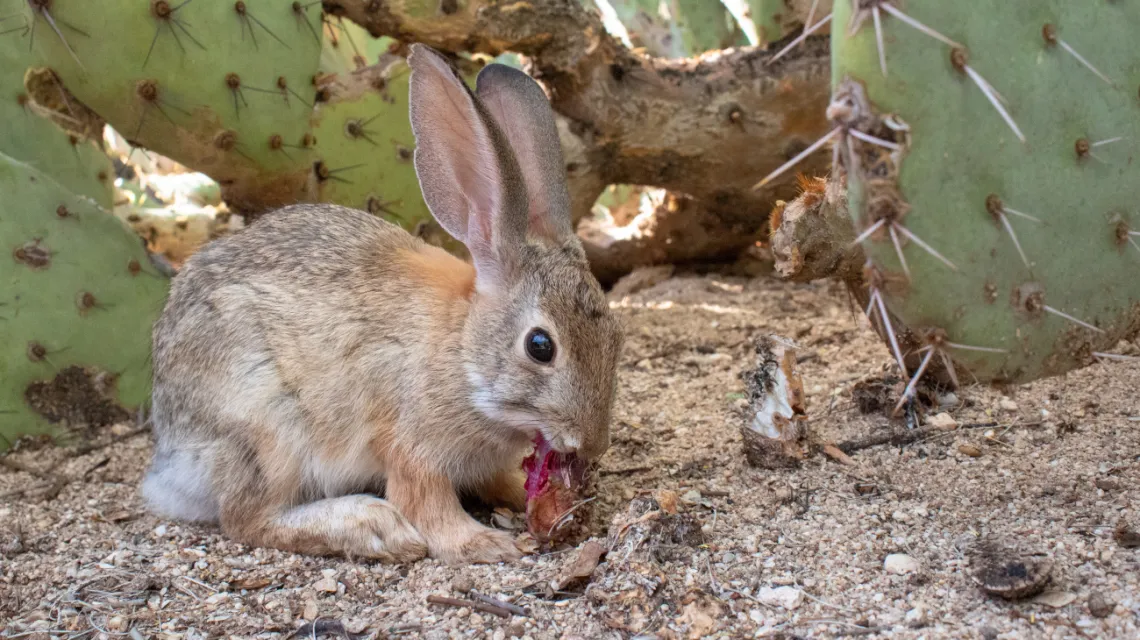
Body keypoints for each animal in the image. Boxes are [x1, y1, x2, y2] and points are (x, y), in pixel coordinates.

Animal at [143, 43, 629, 563]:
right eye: (540, 346)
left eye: (615, 338)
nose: (592, 444)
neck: (463, 351)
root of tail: (170, 460)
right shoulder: (411, 443)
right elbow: (426, 503)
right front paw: (484, 544)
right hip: (266, 428)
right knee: (247, 519)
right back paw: (371, 527)